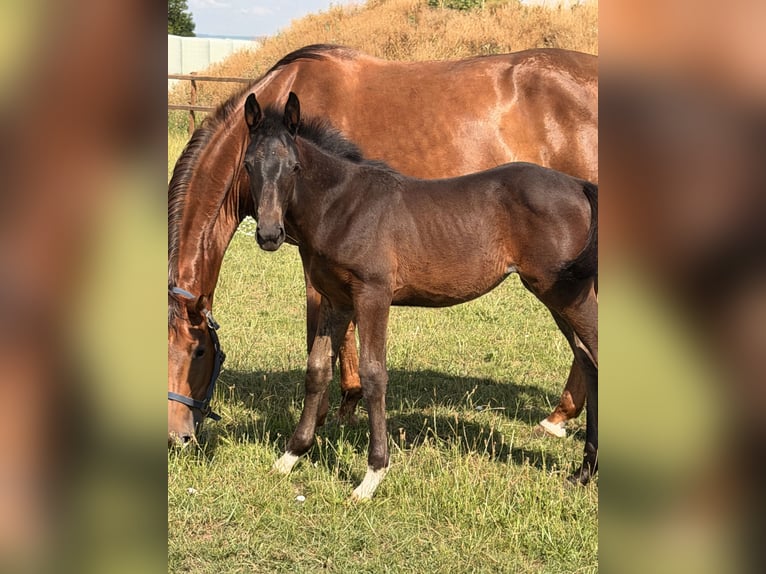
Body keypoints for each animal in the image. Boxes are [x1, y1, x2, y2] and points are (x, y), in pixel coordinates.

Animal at [243, 92, 598, 499]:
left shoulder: (373, 295)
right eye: (249, 165)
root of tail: (579, 185)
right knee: (588, 361)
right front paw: (290, 456)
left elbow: (373, 374)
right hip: (558, 297)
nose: (270, 234)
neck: (342, 207)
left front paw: (372, 475)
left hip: (567, 294)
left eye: (294, 167)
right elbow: (317, 369)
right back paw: (583, 471)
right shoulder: (337, 300)